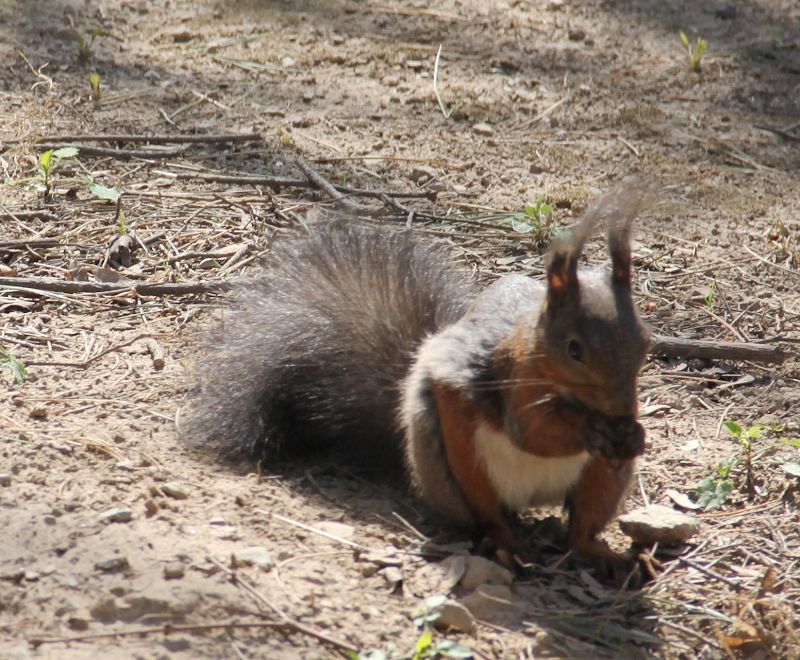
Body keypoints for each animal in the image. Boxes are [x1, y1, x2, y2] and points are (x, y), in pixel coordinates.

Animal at [184, 178, 652, 580]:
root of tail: (527, 499)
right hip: (456, 462)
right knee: (487, 516)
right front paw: (588, 429)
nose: (620, 410)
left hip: (602, 479)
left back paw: (604, 553)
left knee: (582, 526)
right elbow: (534, 432)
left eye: (645, 341)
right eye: (574, 349)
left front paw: (635, 434)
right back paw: (505, 544)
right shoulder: (511, 380)